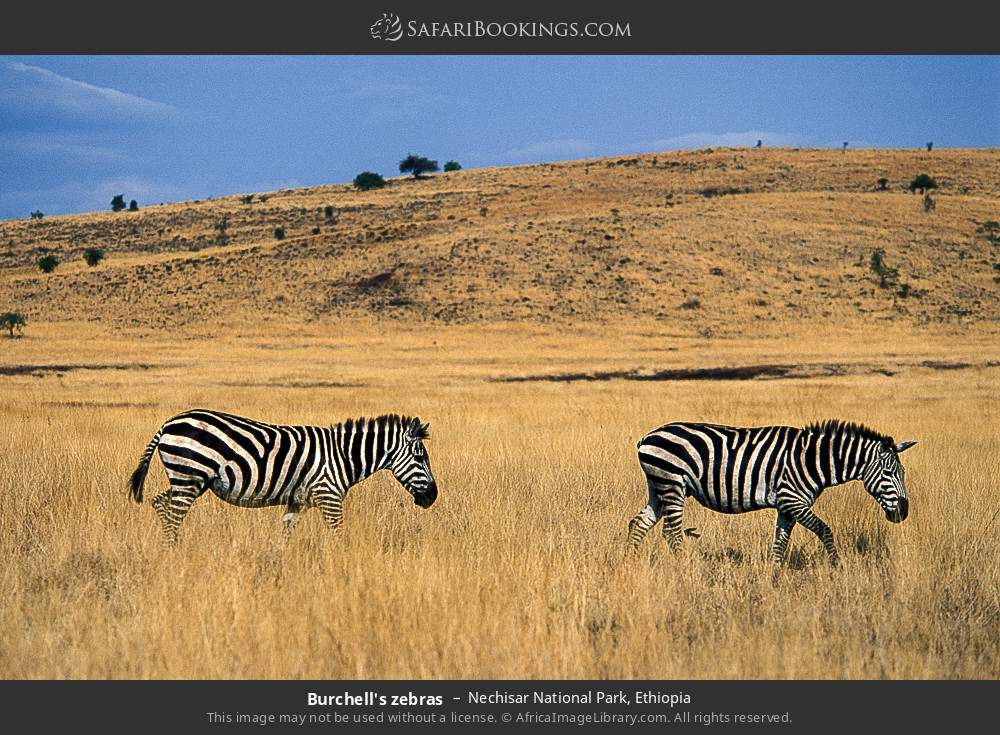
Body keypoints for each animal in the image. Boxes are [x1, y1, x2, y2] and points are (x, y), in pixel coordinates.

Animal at [129, 409, 437, 543]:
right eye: (420, 458)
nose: (433, 497)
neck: (343, 456)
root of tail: (169, 422)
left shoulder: (296, 501)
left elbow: (286, 535)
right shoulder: (328, 495)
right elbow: (339, 535)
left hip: (190, 479)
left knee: (160, 503)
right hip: (189, 475)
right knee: (173, 514)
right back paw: (174, 554)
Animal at [627, 420, 916, 565]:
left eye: (902, 474)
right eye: (888, 474)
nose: (903, 513)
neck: (811, 459)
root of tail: (647, 437)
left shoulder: (787, 506)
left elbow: (780, 545)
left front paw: (775, 580)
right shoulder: (793, 499)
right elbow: (825, 531)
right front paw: (836, 566)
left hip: (659, 487)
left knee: (638, 524)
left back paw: (629, 563)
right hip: (672, 483)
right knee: (671, 533)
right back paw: (683, 568)